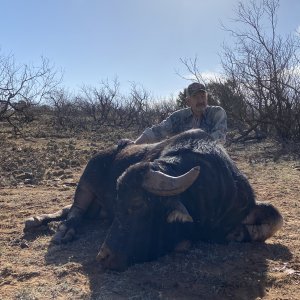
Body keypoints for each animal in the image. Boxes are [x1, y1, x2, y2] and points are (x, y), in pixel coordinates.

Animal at [24, 130, 282, 270]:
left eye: (137, 205)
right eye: (119, 202)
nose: (103, 257)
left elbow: (276, 217)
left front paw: (239, 233)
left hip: (97, 208)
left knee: (68, 209)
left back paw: (37, 220)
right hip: (85, 184)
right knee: (75, 211)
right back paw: (60, 230)